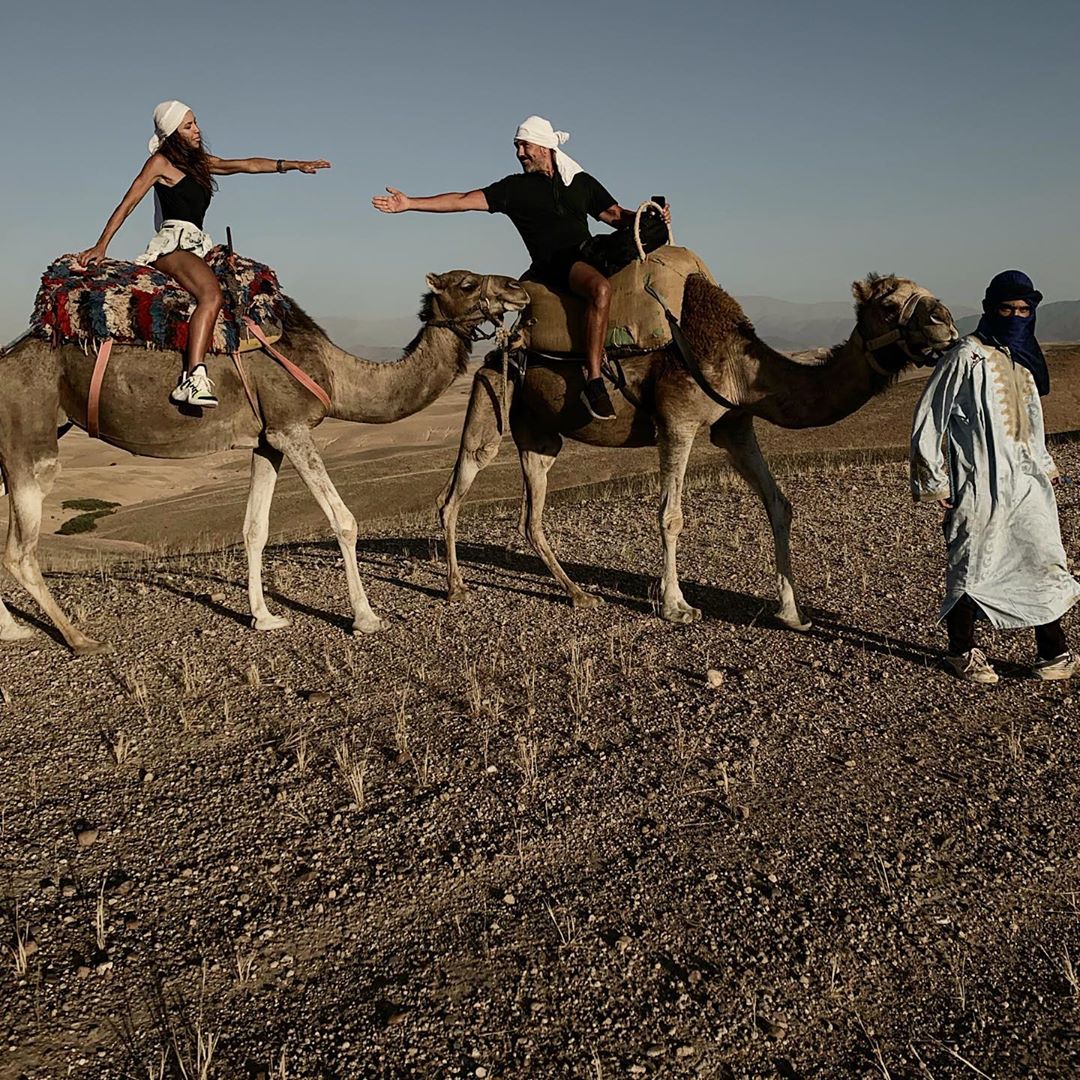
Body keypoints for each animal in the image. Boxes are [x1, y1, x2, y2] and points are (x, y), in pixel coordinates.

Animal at [0, 274, 531, 652]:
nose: (518, 289)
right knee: (20, 552)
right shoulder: (290, 426)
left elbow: (255, 528)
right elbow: (344, 520)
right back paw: (78, 638)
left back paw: (14, 631)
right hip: (32, 439)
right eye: (468, 283)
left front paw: (265, 616)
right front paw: (366, 617)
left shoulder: (266, 439)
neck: (336, 372)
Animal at [434, 267, 959, 626]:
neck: (743, 369)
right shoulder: (678, 421)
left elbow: (779, 504)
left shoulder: (734, 426)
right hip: (489, 398)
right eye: (889, 305)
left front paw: (792, 612)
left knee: (531, 514)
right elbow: (670, 515)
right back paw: (457, 586)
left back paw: (579, 594)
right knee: (454, 495)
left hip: (540, 435)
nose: (946, 319)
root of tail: (499, 347)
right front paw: (677, 606)